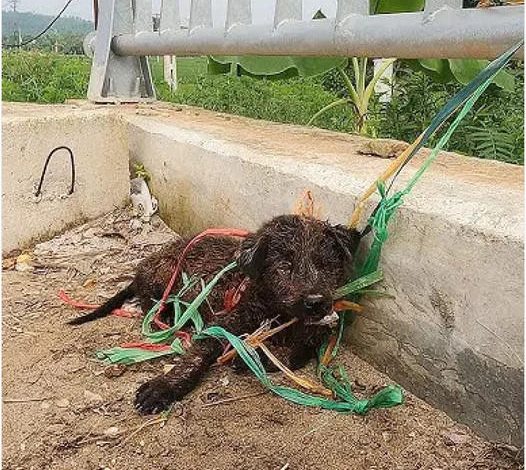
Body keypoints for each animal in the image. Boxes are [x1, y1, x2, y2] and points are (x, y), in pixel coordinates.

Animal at [68, 215, 360, 414]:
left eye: (327, 266)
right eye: (284, 267)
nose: (316, 302)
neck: (275, 310)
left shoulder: (316, 332)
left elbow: (298, 352)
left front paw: (259, 356)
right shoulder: (221, 325)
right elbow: (196, 357)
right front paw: (164, 387)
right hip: (166, 273)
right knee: (149, 300)